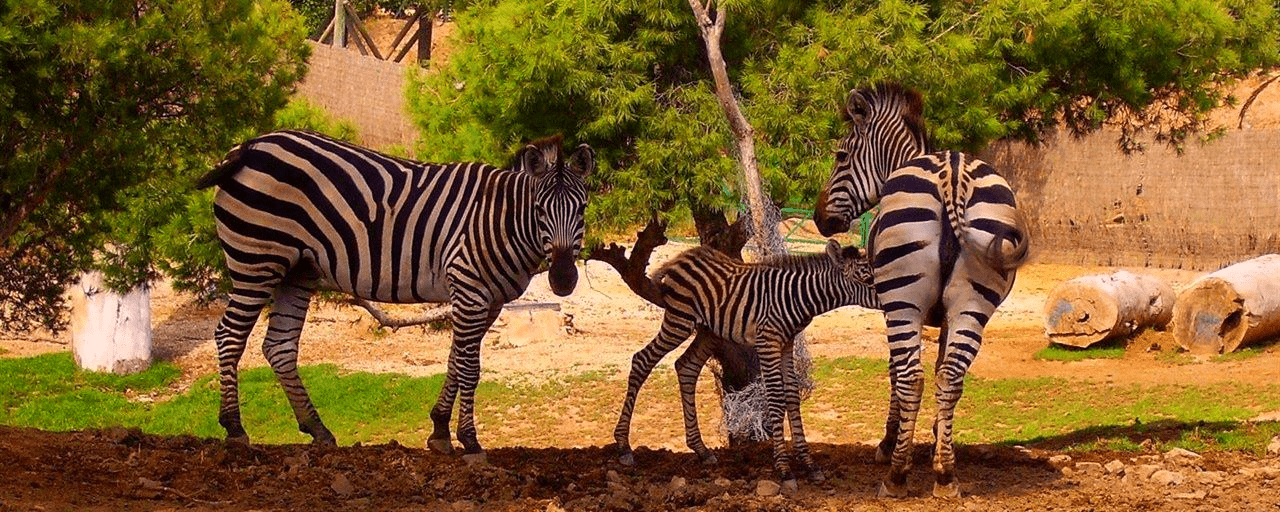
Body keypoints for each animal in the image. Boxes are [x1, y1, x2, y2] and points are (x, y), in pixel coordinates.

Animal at [195, 130, 593, 461]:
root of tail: (250, 145)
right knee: (229, 336)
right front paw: (469, 440)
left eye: (583, 208)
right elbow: (469, 367)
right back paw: (234, 429)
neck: (501, 220)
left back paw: (318, 430)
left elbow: (455, 360)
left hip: (297, 270)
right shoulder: (469, 288)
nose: (562, 279)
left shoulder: (489, 301)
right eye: (539, 210)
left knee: (278, 346)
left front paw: (439, 429)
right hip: (257, 261)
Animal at [613, 239, 879, 491]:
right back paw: (624, 447)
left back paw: (701, 449)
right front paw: (784, 470)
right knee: (642, 360)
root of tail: (682, 256)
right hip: (679, 321)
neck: (798, 297)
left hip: (707, 331)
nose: (888, 299)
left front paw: (809, 464)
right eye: (867, 279)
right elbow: (776, 398)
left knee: (686, 366)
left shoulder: (787, 343)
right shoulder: (767, 341)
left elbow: (792, 395)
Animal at [814, 83, 1030, 498]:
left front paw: (890, 441)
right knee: (950, 376)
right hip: (973, 303)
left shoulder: (887, 305)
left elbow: (893, 372)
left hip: (903, 303)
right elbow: (942, 364)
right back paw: (945, 475)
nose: (819, 220)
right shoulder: (945, 317)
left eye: (841, 155)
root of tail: (953, 173)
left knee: (912, 377)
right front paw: (937, 438)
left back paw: (897, 475)